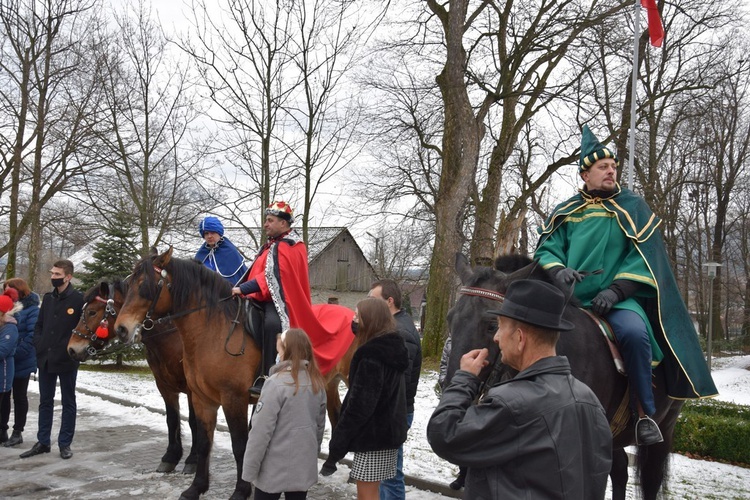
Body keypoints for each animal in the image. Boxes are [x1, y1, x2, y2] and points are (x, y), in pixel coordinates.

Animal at [67, 282, 198, 472]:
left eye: (91, 312)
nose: (71, 349)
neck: (172, 337)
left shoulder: (193, 389)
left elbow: (194, 422)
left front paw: (193, 460)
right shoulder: (164, 386)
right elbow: (172, 419)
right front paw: (170, 457)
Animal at [114, 248, 356, 498]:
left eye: (145, 285)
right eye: (128, 284)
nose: (121, 329)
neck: (213, 332)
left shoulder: (233, 399)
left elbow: (241, 445)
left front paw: (241, 490)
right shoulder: (202, 399)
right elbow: (204, 442)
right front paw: (196, 487)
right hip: (329, 383)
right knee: (335, 414)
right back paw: (328, 465)